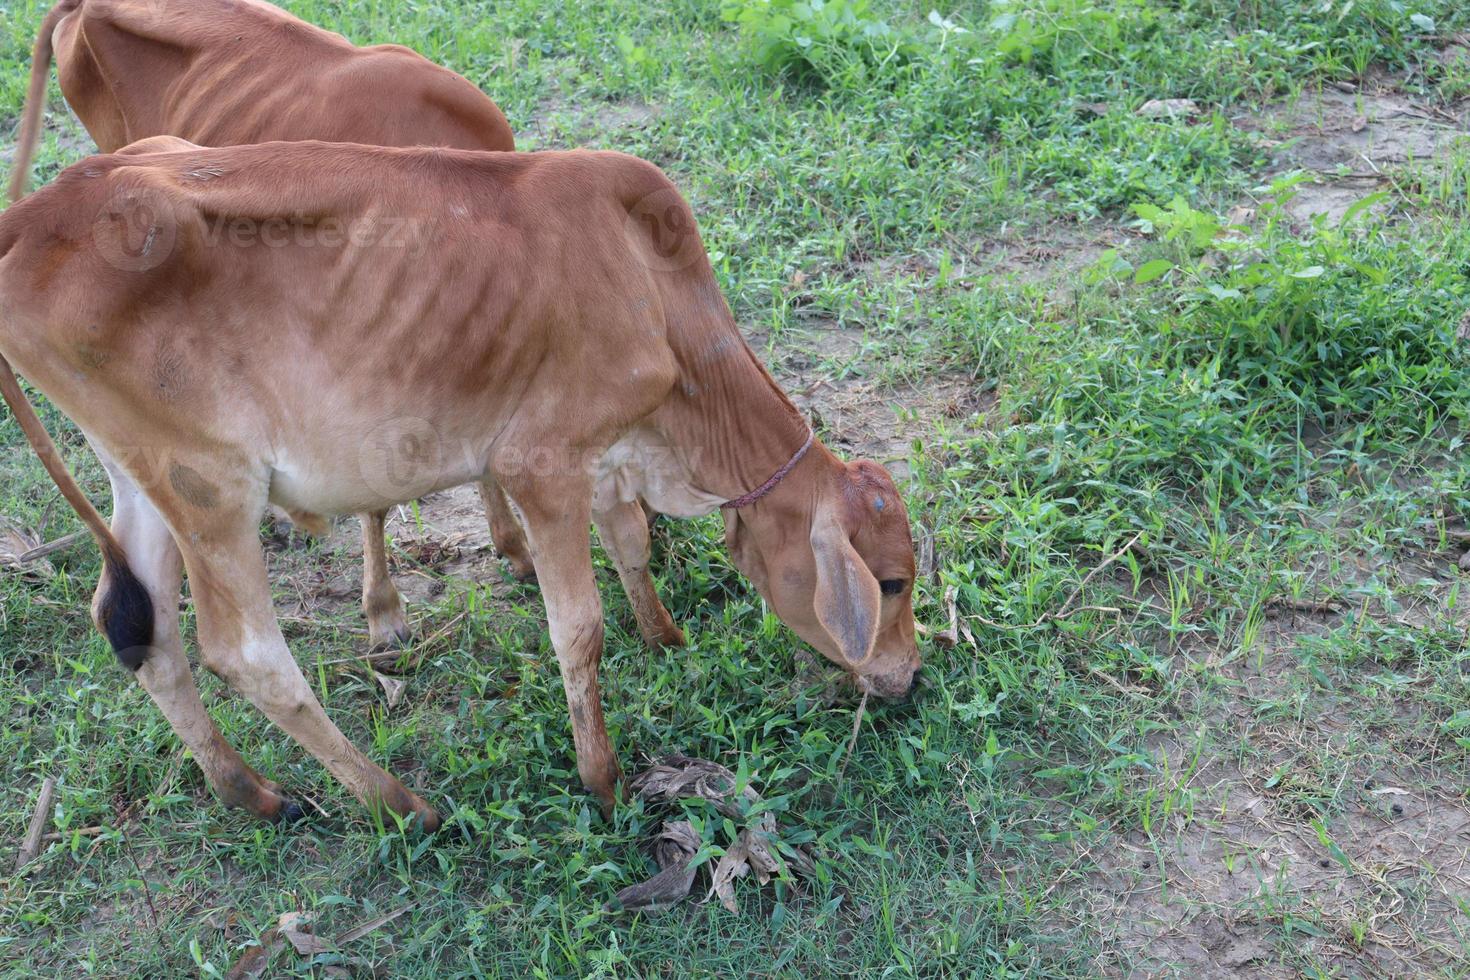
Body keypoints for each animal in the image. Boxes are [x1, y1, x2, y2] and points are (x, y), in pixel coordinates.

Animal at [0, 138, 917, 828]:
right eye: (893, 583)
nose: (906, 677)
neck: (658, 297)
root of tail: (34, 217)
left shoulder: (607, 452)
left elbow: (629, 544)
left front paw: (666, 637)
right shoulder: (541, 464)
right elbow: (578, 628)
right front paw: (605, 781)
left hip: (140, 477)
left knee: (137, 626)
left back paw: (249, 791)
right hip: (209, 485)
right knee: (243, 653)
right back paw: (400, 804)